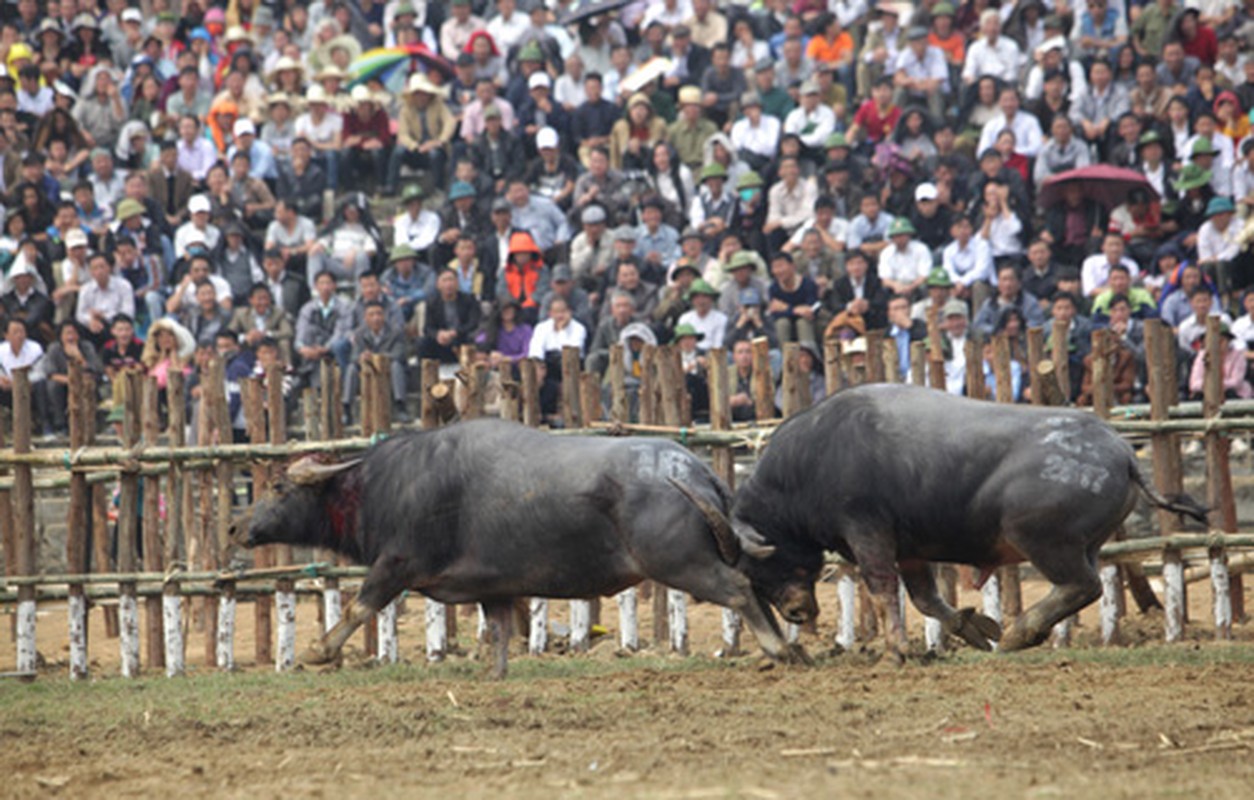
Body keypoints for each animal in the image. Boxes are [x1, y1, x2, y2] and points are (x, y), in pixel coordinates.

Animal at [230, 421, 797, 677]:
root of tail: (695, 470)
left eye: (278, 486)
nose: (238, 527)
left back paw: (779, 649)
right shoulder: (493, 588)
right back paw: (796, 647)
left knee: (740, 588)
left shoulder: (396, 563)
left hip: (682, 562)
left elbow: (359, 605)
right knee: (756, 587)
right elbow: (503, 630)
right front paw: (497, 672)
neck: (384, 487)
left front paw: (318, 650)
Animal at [712, 386, 1208, 662]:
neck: (812, 459)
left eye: (759, 567)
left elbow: (883, 589)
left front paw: (896, 651)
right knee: (1085, 586)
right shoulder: (910, 550)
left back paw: (1019, 633)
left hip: (1043, 540)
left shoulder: (867, 532)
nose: (796, 613)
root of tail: (1122, 453)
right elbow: (926, 600)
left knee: (1082, 586)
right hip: (1083, 544)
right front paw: (971, 628)